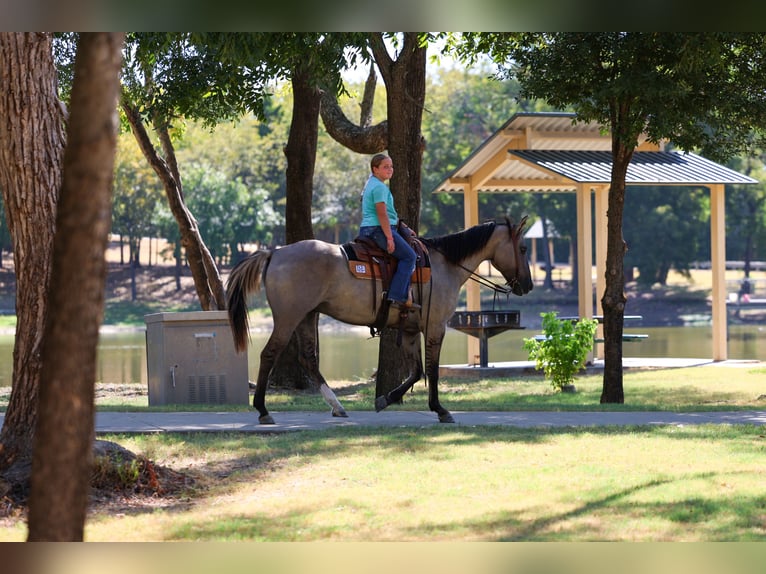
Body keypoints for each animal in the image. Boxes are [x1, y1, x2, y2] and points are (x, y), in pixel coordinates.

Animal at [226, 215, 533, 425]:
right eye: (523, 249)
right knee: (269, 354)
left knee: (308, 359)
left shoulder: (410, 330)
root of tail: (275, 252)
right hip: (288, 317)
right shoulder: (435, 327)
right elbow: (432, 370)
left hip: (307, 316)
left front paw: (386, 399)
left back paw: (336, 406)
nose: (528, 286)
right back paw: (263, 410)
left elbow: (416, 371)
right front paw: (440, 409)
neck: (444, 266)